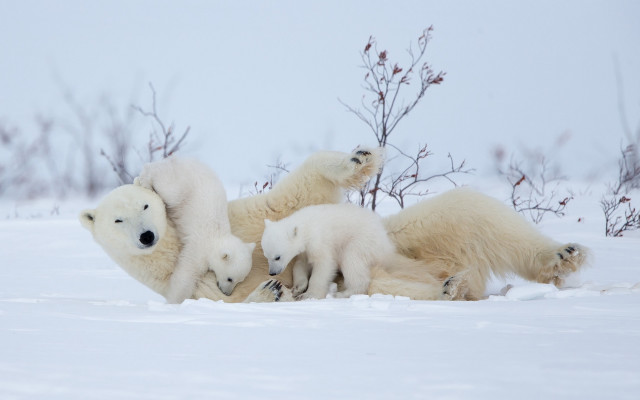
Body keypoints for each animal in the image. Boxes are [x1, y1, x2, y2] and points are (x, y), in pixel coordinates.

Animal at [134, 157, 255, 302]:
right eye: (230, 278)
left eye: (240, 280)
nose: (227, 293)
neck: (217, 237)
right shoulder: (199, 248)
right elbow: (187, 273)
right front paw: (175, 300)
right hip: (182, 186)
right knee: (168, 189)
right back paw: (145, 179)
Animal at [262, 203, 396, 300]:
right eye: (266, 256)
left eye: (277, 257)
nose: (272, 273)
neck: (307, 227)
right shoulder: (305, 251)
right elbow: (300, 265)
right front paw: (298, 288)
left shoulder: (319, 241)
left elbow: (324, 265)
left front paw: (309, 295)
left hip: (362, 242)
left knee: (352, 262)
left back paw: (341, 294)